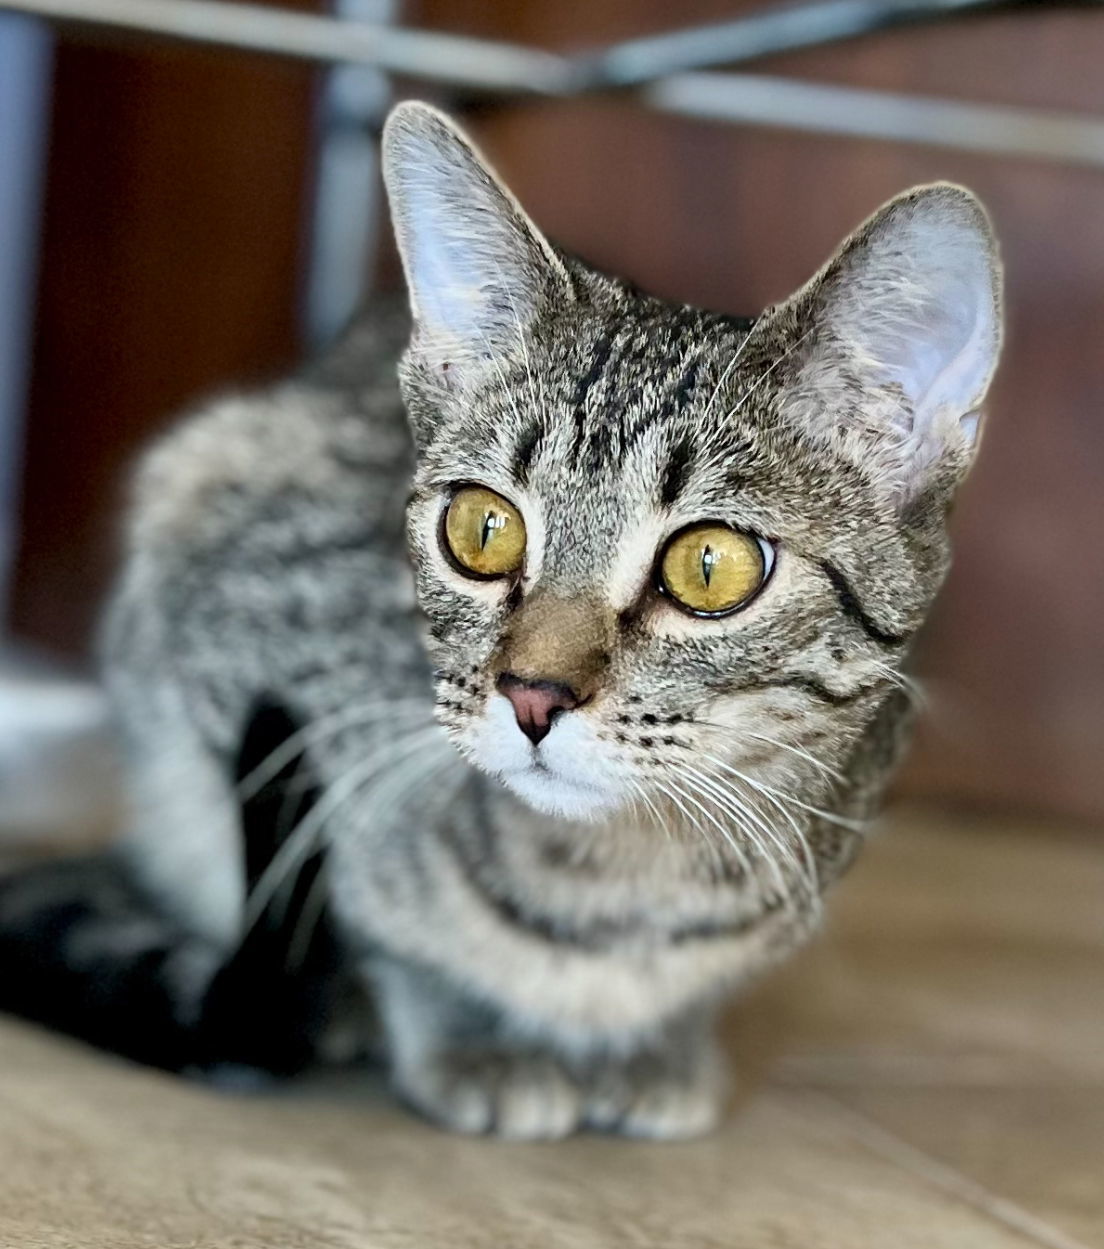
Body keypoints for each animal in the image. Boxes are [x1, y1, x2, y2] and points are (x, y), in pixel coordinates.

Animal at [0, 102, 999, 1139]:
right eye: (482, 528)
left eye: (709, 565)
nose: (531, 694)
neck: (620, 887)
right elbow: (370, 908)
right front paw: (463, 1027)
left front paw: (660, 1041)